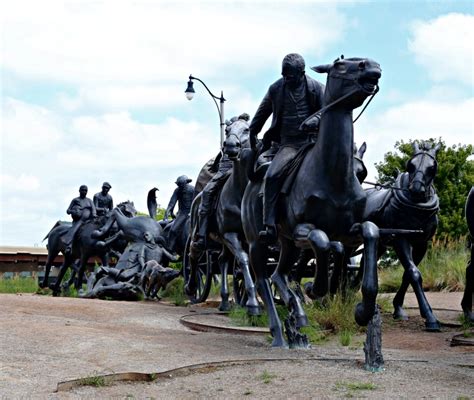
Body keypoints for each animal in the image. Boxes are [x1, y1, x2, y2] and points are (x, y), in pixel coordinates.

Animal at [243, 56, 384, 346]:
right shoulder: (303, 229)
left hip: (287, 243)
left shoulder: (348, 231)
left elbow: (369, 232)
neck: (332, 176)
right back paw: (279, 332)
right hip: (257, 243)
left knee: (279, 274)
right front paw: (315, 288)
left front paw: (363, 310)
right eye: (340, 65)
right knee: (263, 280)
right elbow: (321, 240)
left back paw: (296, 312)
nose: (373, 66)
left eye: (362, 173)